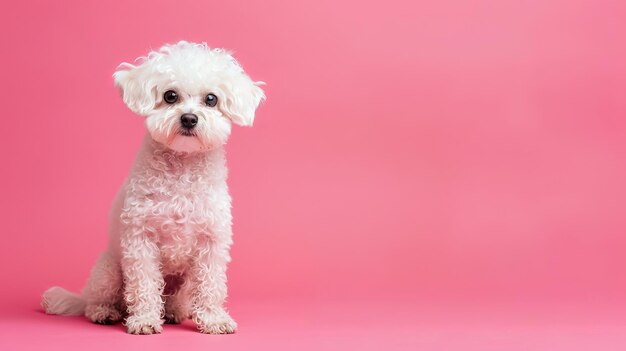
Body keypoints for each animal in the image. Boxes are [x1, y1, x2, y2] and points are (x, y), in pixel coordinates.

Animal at [39, 41, 264, 336]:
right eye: (170, 96)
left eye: (211, 99)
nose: (189, 118)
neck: (182, 170)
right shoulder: (140, 240)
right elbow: (143, 284)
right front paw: (144, 319)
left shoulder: (212, 242)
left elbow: (211, 285)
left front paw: (213, 318)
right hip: (108, 270)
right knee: (99, 300)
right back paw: (104, 311)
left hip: (183, 281)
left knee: (178, 298)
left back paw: (174, 311)